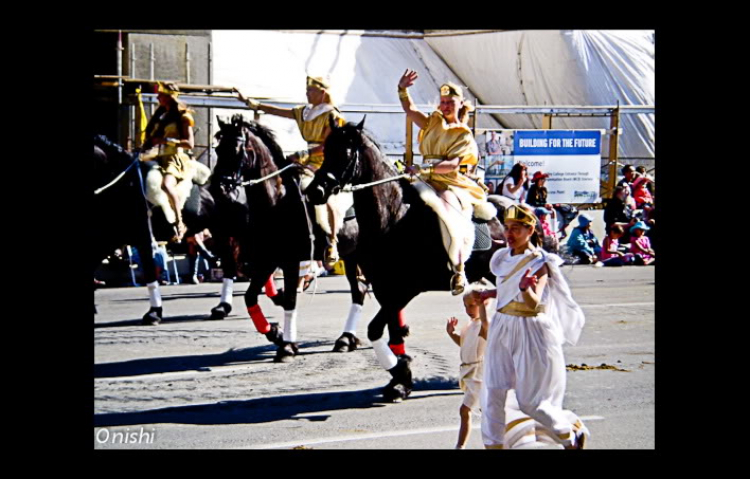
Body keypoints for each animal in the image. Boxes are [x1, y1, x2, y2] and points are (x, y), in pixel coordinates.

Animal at [212, 117, 368, 364]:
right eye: (218, 149)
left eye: (236, 149)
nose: (217, 187)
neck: (278, 202)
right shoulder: (267, 259)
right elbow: (250, 298)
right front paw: (276, 333)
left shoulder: (290, 261)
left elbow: (290, 301)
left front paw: (286, 346)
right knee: (359, 290)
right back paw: (346, 339)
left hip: (355, 255)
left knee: (360, 290)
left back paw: (348, 338)